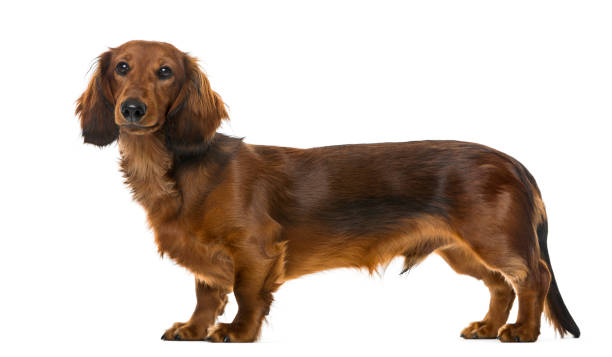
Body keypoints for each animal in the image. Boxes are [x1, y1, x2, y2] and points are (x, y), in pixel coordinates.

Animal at [76, 40, 580, 340]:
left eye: (165, 72)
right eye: (122, 67)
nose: (132, 109)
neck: (175, 169)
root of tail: (510, 161)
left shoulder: (256, 250)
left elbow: (245, 294)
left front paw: (237, 332)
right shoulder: (205, 253)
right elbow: (206, 294)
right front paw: (194, 328)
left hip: (492, 239)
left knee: (534, 278)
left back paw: (522, 331)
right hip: (462, 250)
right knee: (500, 285)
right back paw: (489, 326)